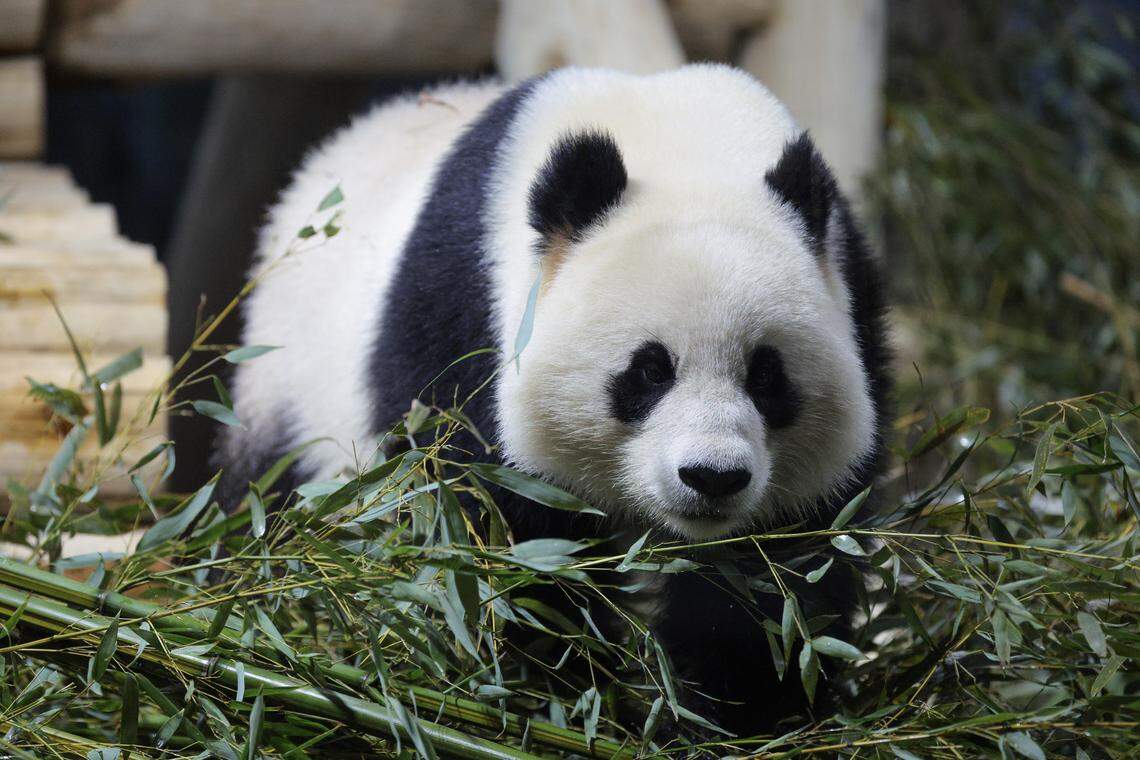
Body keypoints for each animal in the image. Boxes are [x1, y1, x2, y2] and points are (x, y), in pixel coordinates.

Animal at [217, 64, 891, 734]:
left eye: (766, 375)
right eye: (649, 371)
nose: (712, 477)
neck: (682, 147)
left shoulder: (854, 295)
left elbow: (781, 571)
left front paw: (735, 709)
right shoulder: (465, 319)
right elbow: (489, 533)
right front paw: (544, 691)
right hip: (287, 398)